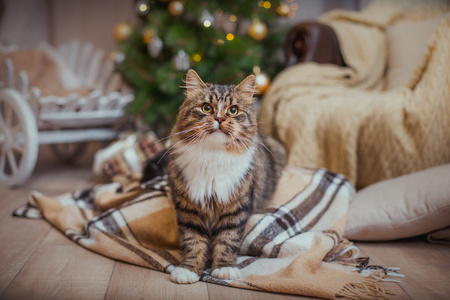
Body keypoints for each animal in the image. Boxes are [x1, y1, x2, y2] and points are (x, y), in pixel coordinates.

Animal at [167, 69, 286, 284]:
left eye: (233, 110)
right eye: (206, 108)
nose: (220, 119)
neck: (213, 157)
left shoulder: (236, 208)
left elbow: (228, 240)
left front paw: (224, 269)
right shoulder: (188, 208)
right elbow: (193, 241)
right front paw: (188, 270)